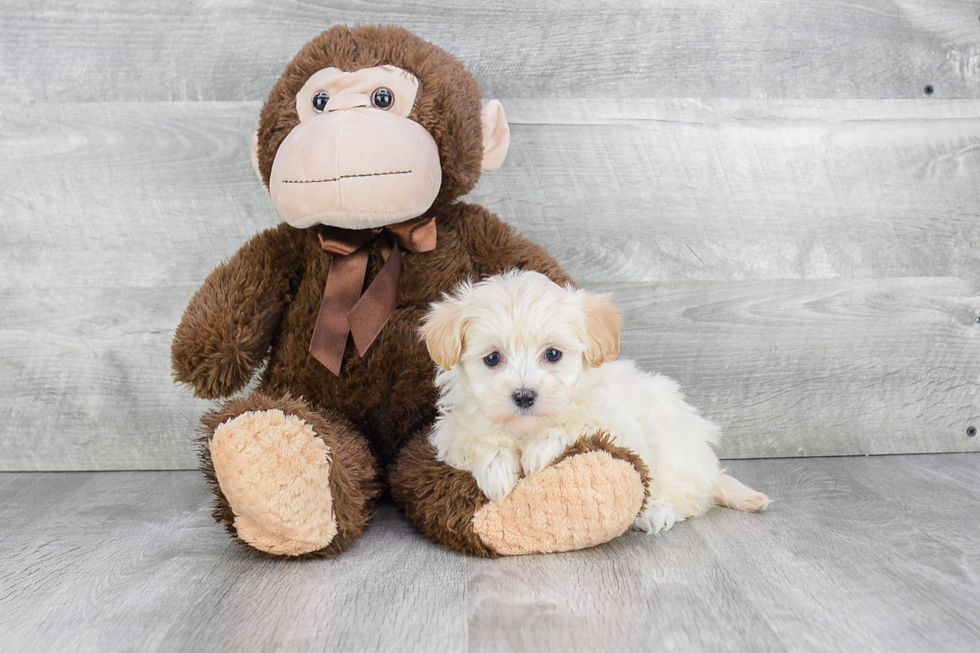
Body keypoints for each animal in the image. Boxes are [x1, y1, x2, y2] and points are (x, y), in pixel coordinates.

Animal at [418, 268, 768, 532]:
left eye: (553, 354)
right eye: (492, 358)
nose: (524, 396)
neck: (525, 427)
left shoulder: (616, 422)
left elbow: (578, 422)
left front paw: (539, 450)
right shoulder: (452, 430)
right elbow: (480, 440)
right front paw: (498, 471)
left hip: (674, 452)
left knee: (688, 498)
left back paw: (656, 512)